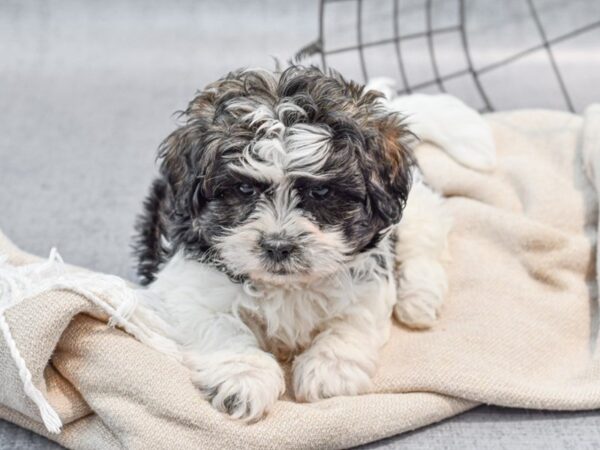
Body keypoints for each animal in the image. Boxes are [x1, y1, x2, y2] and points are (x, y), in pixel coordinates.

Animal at [132, 66, 492, 422]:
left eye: (320, 192)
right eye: (244, 190)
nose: (278, 245)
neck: (287, 286)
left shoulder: (369, 278)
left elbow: (352, 319)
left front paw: (330, 370)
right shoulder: (187, 287)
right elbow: (220, 324)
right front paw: (244, 377)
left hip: (417, 207)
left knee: (424, 245)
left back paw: (419, 299)